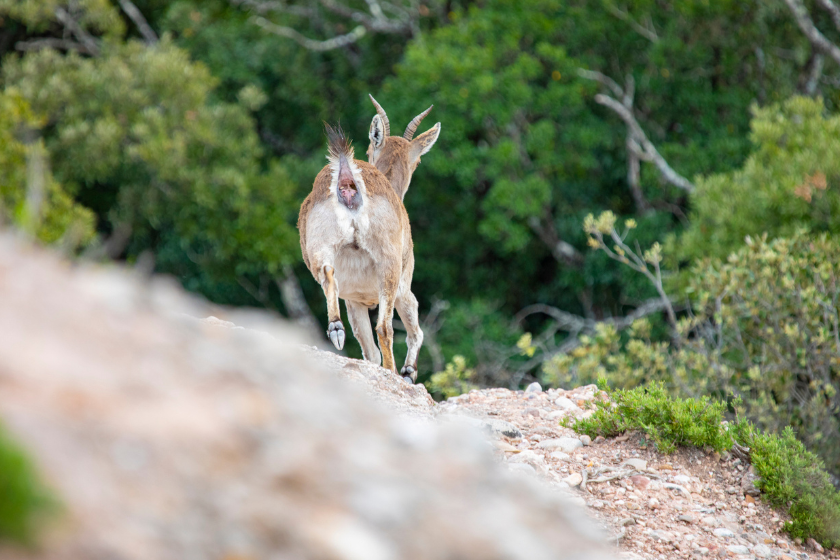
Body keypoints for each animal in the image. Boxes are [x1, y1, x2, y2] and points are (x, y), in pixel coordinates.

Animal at [297, 102, 440, 381]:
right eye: (417, 160)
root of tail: (347, 182)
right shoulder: (403, 287)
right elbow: (415, 331)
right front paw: (408, 372)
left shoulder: (355, 299)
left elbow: (369, 351)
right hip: (389, 264)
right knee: (385, 327)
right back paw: (394, 371)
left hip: (322, 246)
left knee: (327, 273)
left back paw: (336, 330)